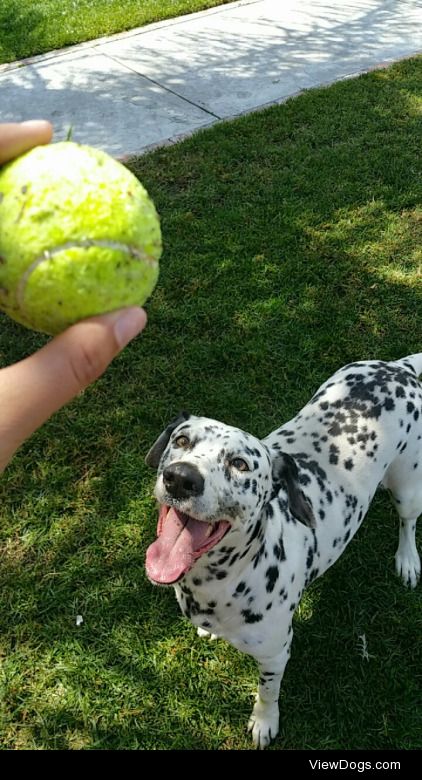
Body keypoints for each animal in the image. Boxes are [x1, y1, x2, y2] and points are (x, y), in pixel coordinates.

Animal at [146, 354, 422, 748]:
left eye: (240, 464)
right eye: (181, 440)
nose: (181, 478)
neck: (220, 583)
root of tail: (398, 367)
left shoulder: (276, 653)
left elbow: (267, 693)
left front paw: (264, 722)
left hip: (408, 485)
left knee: (408, 522)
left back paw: (407, 559)